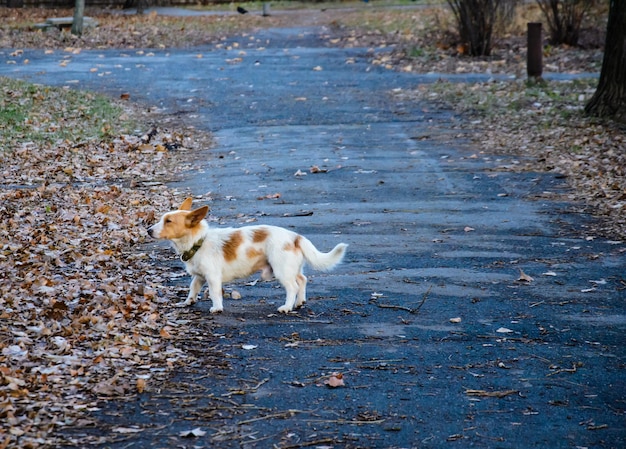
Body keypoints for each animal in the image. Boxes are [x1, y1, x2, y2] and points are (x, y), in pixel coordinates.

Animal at [149, 198, 348, 314]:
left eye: (168, 221)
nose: (148, 230)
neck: (199, 241)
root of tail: (295, 237)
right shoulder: (199, 277)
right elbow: (193, 288)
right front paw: (187, 302)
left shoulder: (212, 278)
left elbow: (214, 293)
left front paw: (217, 308)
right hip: (291, 268)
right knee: (302, 280)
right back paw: (299, 302)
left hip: (281, 271)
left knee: (292, 287)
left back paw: (287, 307)